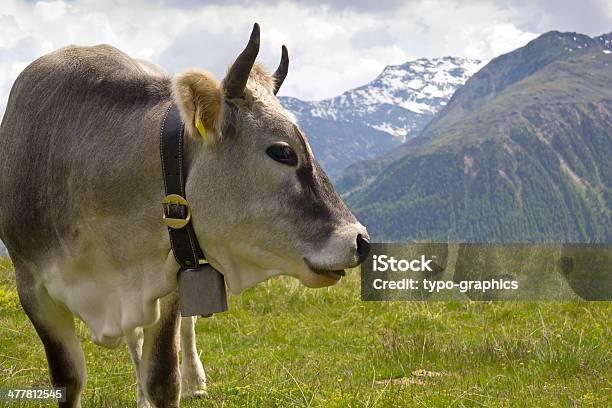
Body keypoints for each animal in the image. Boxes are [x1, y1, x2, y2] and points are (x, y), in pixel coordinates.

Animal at [0, 23, 368, 408]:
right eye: (283, 152)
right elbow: (68, 380)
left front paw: (177, 382)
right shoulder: (32, 289)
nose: (360, 239)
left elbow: (163, 375)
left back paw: (195, 381)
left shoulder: (170, 272)